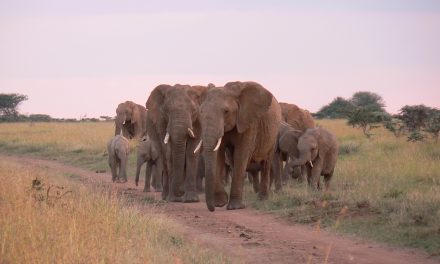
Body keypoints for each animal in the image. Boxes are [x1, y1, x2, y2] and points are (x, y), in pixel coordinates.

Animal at [197, 81, 280, 211]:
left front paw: (234, 207)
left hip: (273, 135)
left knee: (266, 163)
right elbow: (219, 153)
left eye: (226, 111)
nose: (212, 209)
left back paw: (262, 199)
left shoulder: (248, 122)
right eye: (201, 112)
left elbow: (241, 154)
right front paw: (220, 202)